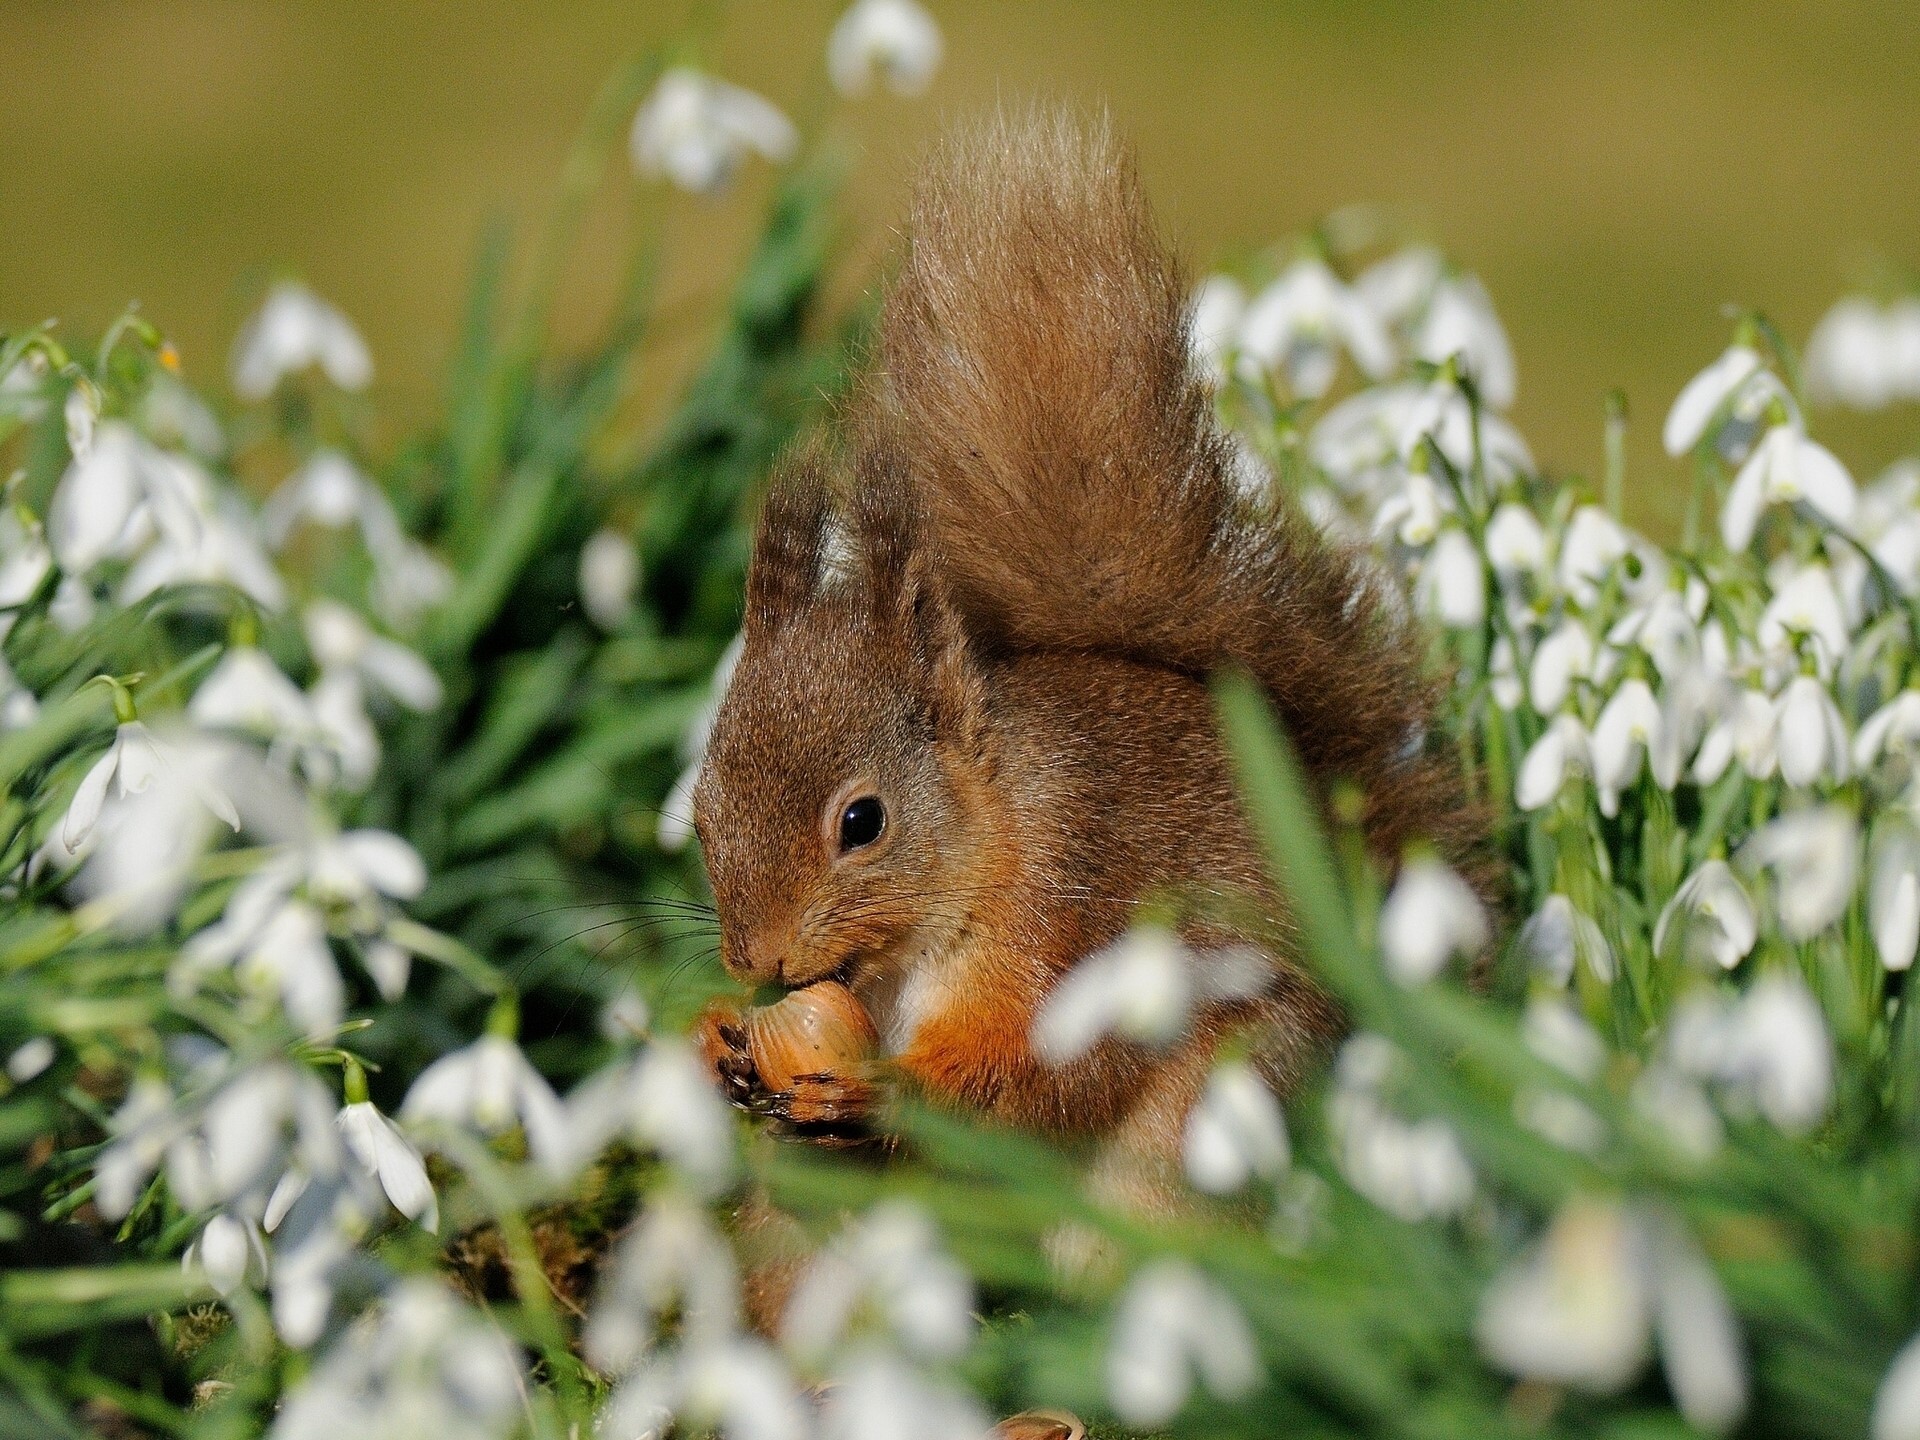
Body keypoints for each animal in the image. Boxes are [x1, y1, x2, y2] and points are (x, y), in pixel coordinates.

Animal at [690, 109, 1484, 1225]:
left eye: (863, 821)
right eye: (700, 814)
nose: (755, 960)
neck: (991, 823)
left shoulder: (1064, 905)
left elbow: (1021, 1066)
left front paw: (876, 1088)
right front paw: (713, 1038)